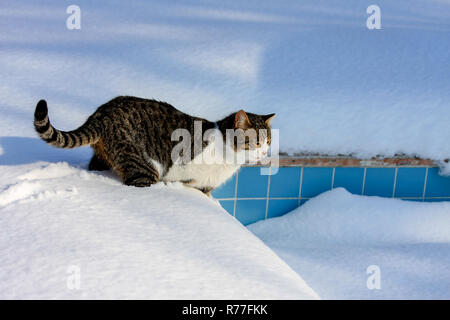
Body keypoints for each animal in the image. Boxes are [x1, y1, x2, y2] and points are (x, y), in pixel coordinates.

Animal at [34, 96, 274, 194]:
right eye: (256, 141)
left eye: (269, 141)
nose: (265, 151)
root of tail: (101, 113)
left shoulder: (204, 186)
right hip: (143, 164)